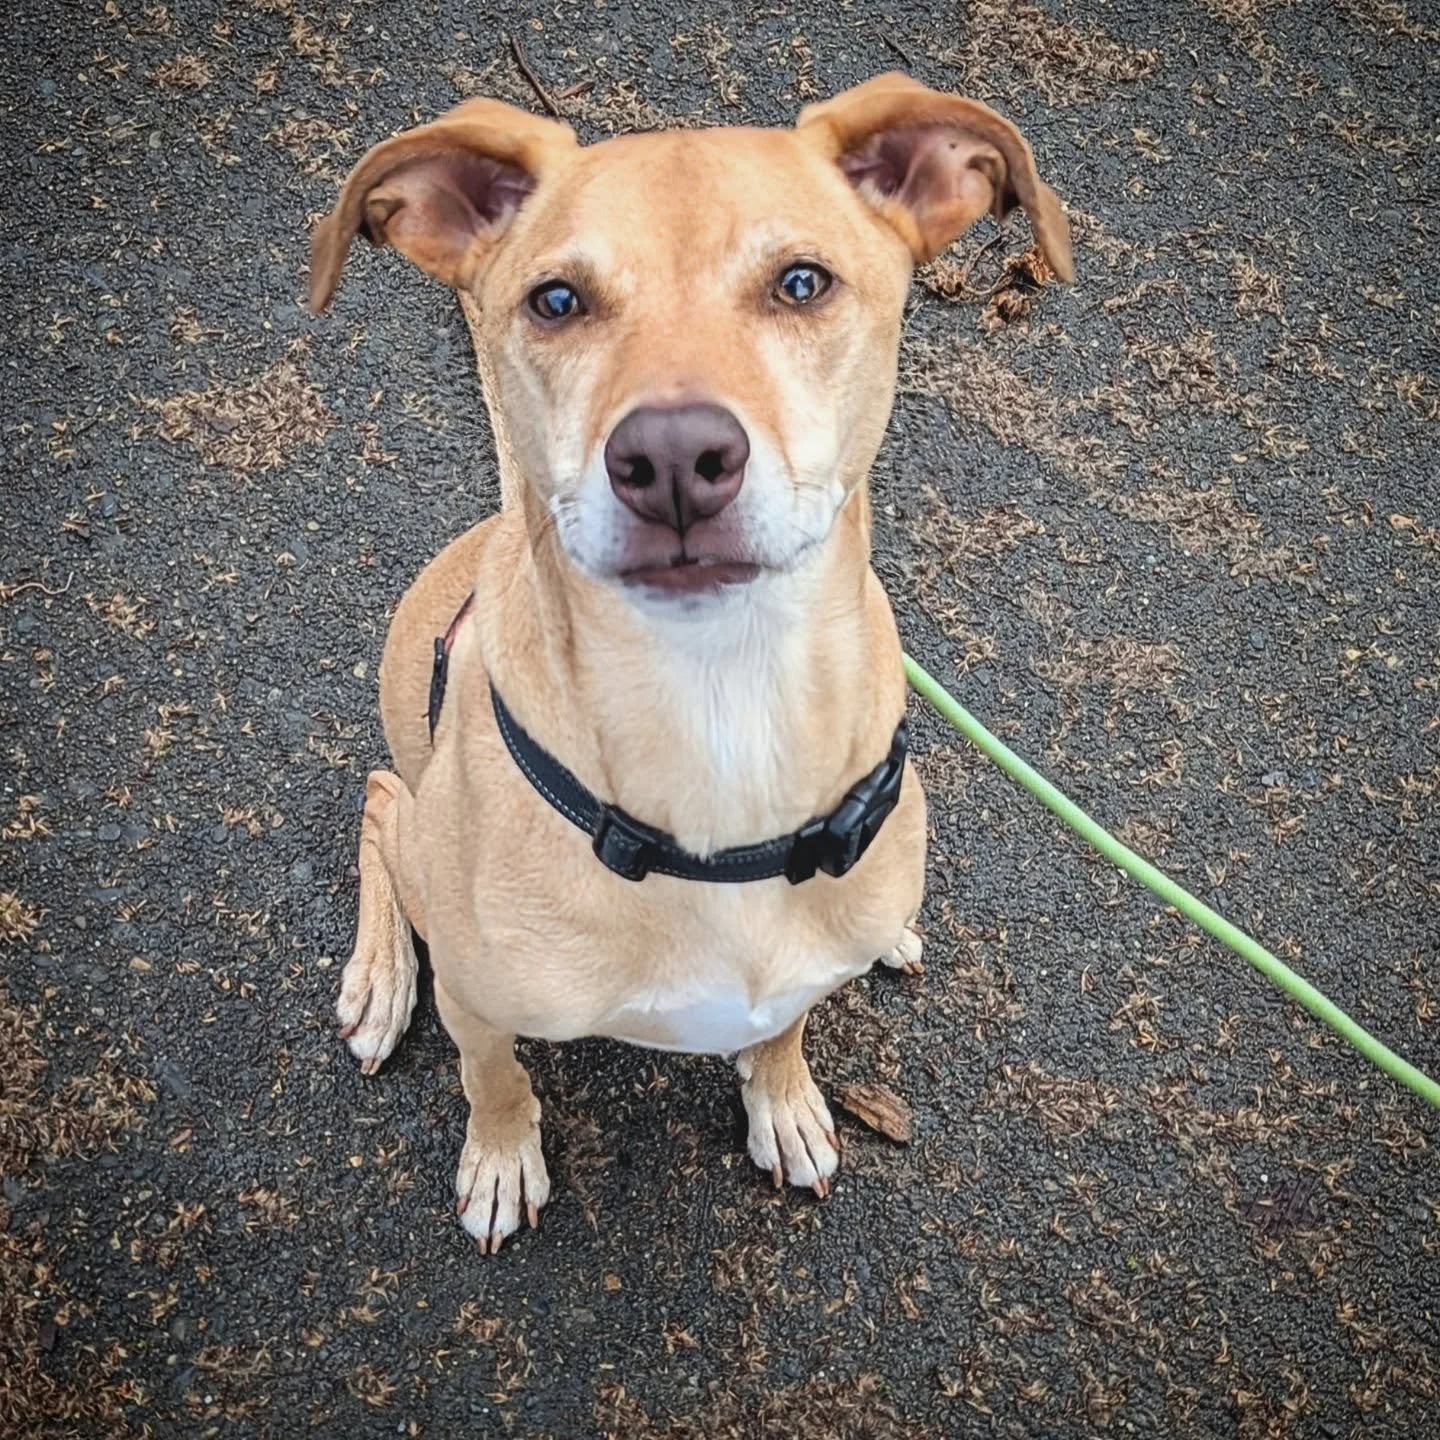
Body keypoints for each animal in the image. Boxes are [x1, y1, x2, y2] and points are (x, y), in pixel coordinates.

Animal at [310, 73, 1072, 1252]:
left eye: (802, 282)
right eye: (556, 300)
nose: (672, 458)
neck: (722, 701)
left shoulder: (799, 967)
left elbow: (785, 1025)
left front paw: (785, 1101)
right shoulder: (481, 1006)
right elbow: (494, 1078)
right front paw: (500, 1159)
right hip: (414, 799)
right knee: (384, 804)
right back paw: (382, 980)